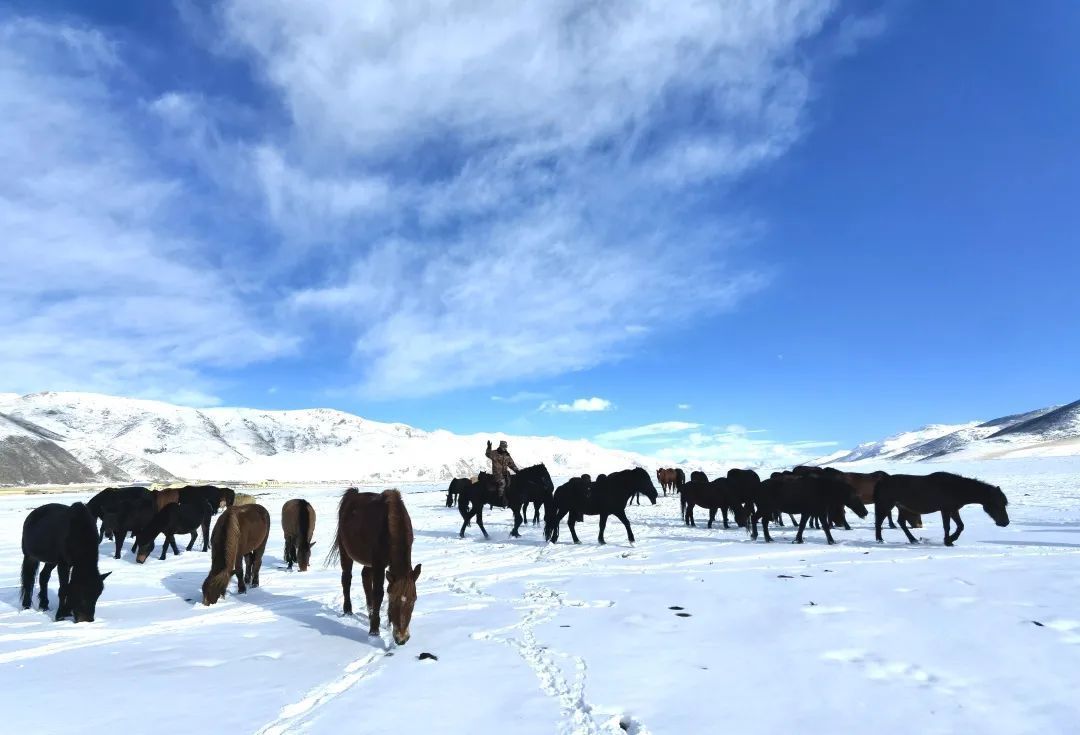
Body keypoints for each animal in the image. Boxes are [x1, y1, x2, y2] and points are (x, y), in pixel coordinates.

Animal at [326, 490, 419, 643]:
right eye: (393, 600)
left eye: (413, 600)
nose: (402, 639)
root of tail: (352, 494)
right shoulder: (379, 565)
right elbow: (379, 593)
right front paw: (374, 631)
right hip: (346, 553)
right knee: (346, 579)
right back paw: (348, 610)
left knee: (365, 578)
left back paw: (369, 614)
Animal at [872, 470, 1006, 543]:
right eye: (997, 504)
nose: (1006, 522)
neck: (956, 488)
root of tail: (884, 480)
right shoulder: (946, 510)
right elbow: (947, 526)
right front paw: (948, 541)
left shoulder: (953, 510)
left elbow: (960, 526)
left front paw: (951, 539)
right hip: (886, 505)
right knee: (879, 522)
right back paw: (880, 540)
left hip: (903, 507)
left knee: (901, 522)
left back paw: (913, 540)